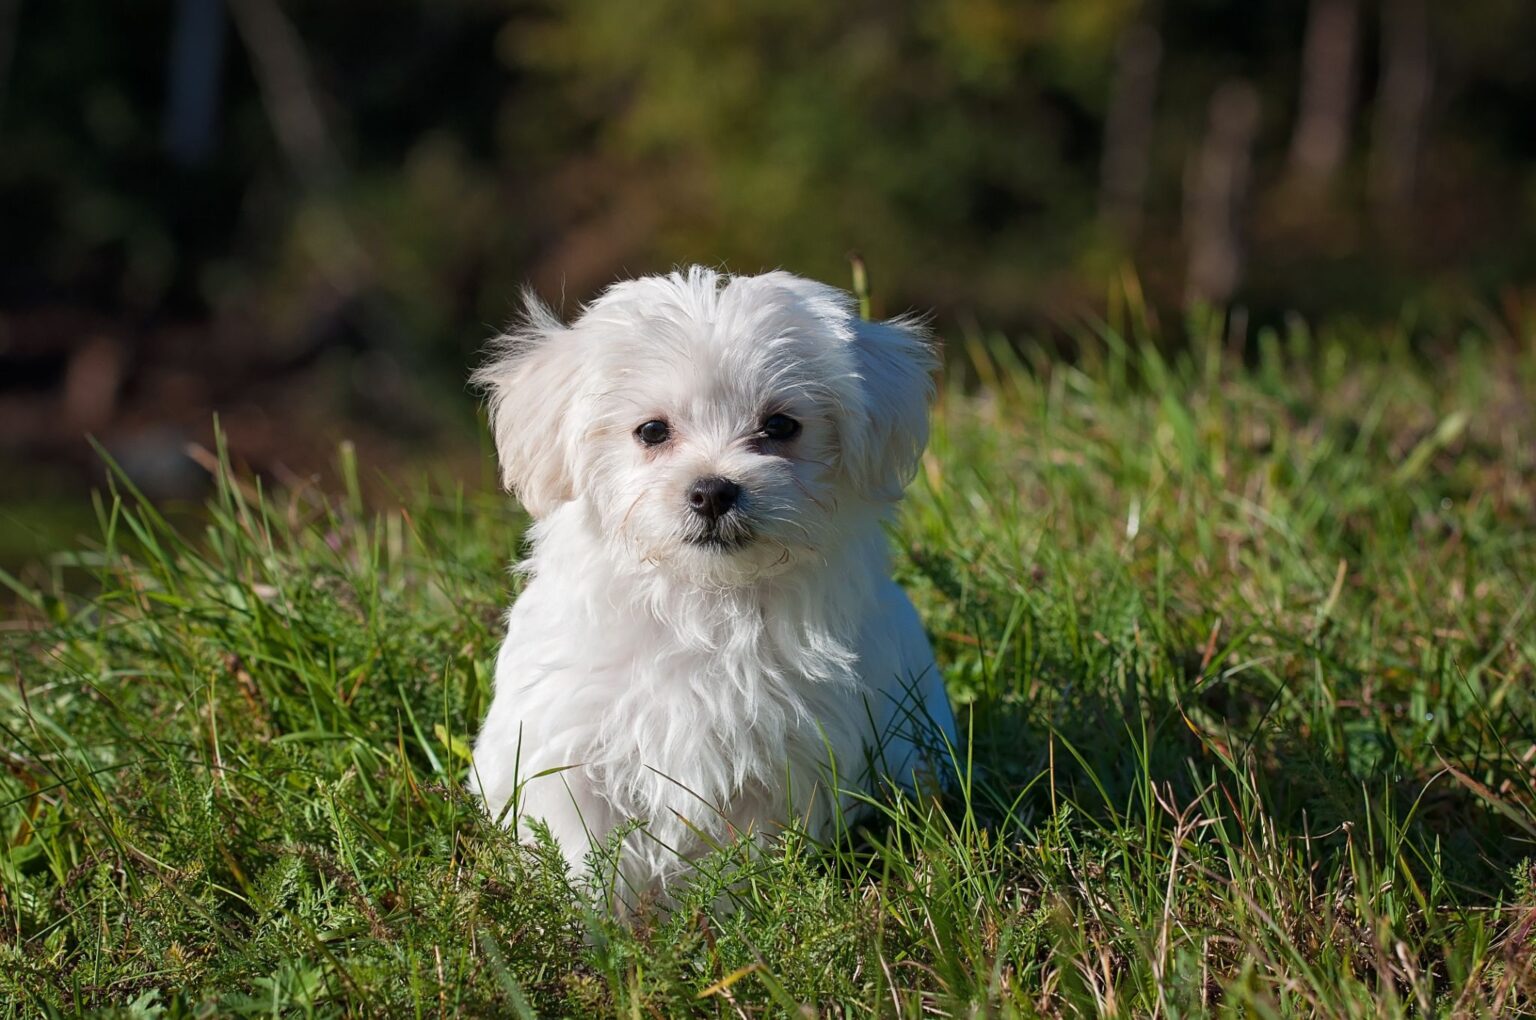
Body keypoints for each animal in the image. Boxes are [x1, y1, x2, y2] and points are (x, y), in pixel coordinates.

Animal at [470, 267, 946, 903]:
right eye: (651, 431)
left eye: (780, 426)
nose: (713, 490)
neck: (704, 601)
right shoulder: (567, 748)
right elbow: (584, 854)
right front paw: (593, 924)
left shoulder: (780, 763)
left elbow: (741, 859)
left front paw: (730, 916)